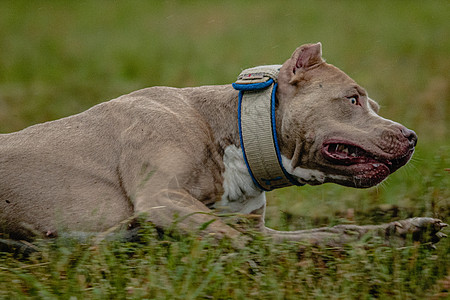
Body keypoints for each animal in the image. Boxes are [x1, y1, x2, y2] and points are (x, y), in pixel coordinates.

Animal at [0, 41, 446, 248]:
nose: (412, 137)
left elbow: (338, 231)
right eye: (352, 100)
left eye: (374, 106)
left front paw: (408, 230)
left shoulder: (258, 228)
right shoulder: (162, 198)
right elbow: (240, 244)